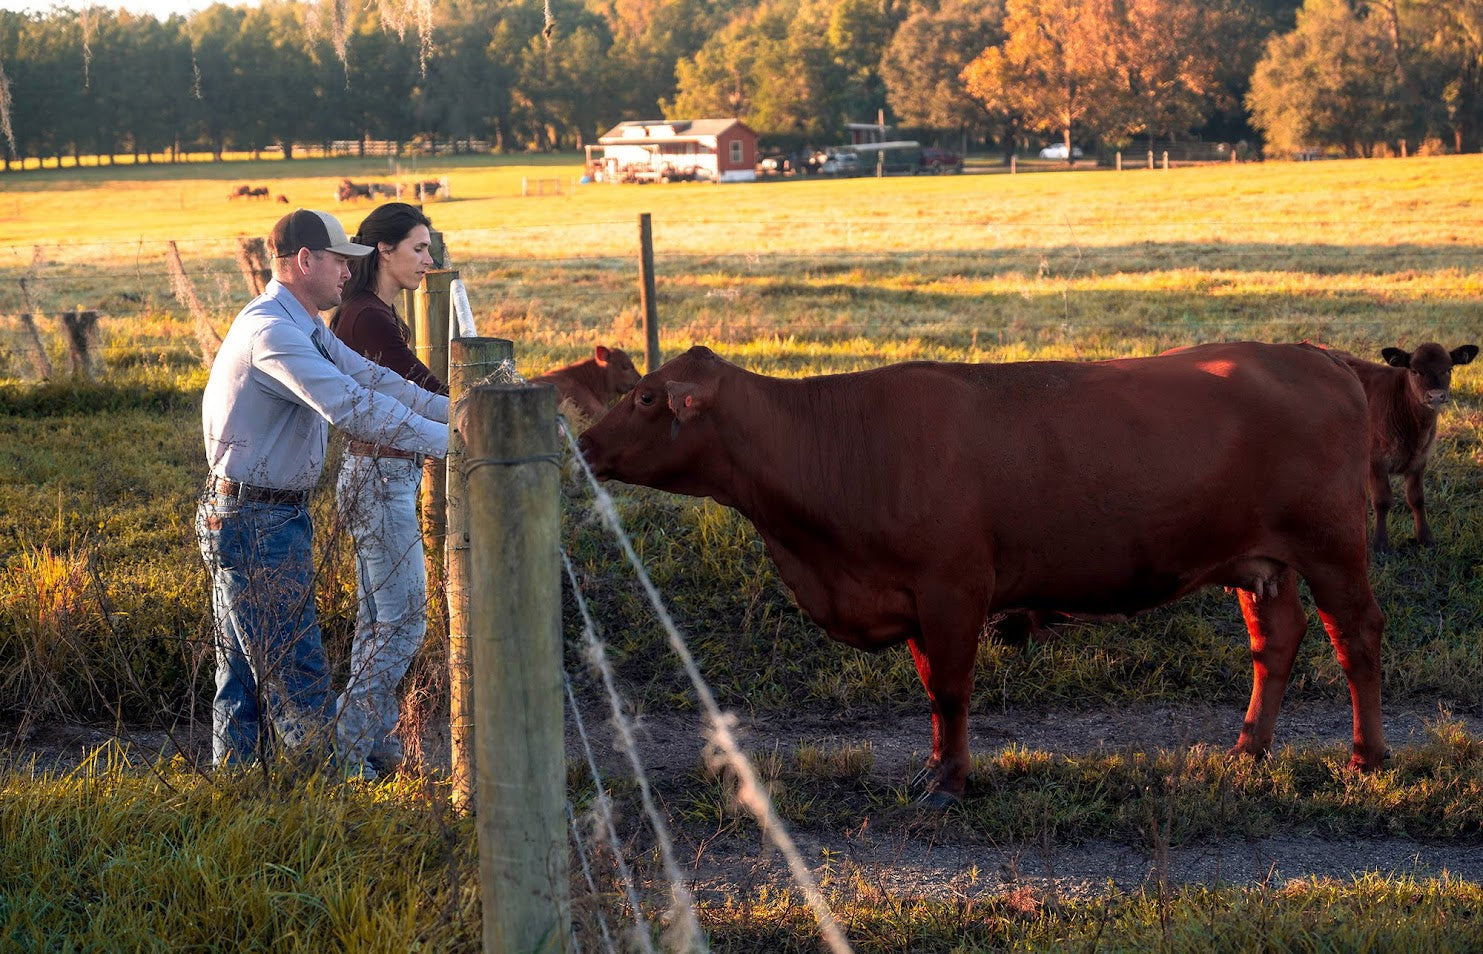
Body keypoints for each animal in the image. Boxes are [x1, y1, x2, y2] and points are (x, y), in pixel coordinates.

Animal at [576, 342, 1387, 803]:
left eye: (644, 396)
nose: (581, 444)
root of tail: (1313, 353)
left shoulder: (951, 590)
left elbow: (950, 690)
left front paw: (949, 784)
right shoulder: (910, 597)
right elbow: (933, 692)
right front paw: (936, 769)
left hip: (1332, 546)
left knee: (1356, 639)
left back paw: (1365, 759)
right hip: (1260, 563)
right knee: (1274, 641)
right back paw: (1246, 750)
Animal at [1330, 342, 1477, 551]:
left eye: (1449, 369)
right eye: (1415, 371)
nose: (1436, 396)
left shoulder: (1420, 460)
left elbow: (1417, 499)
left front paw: (1426, 538)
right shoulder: (1376, 461)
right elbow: (1382, 501)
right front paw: (1380, 543)